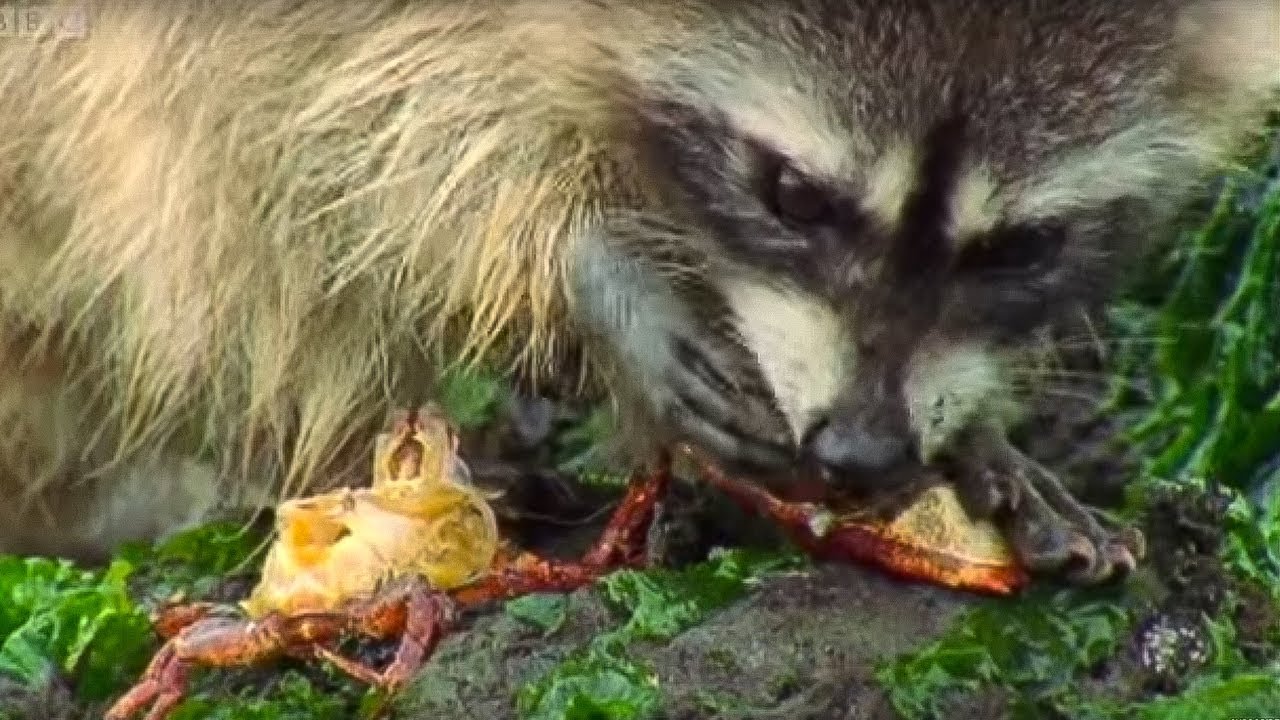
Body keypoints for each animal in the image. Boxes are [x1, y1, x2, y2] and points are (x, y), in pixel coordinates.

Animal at [0, 0, 1274, 573]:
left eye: (1018, 248)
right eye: (791, 195)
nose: (859, 451)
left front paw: (974, 439)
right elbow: (313, 135)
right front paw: (591, 273)